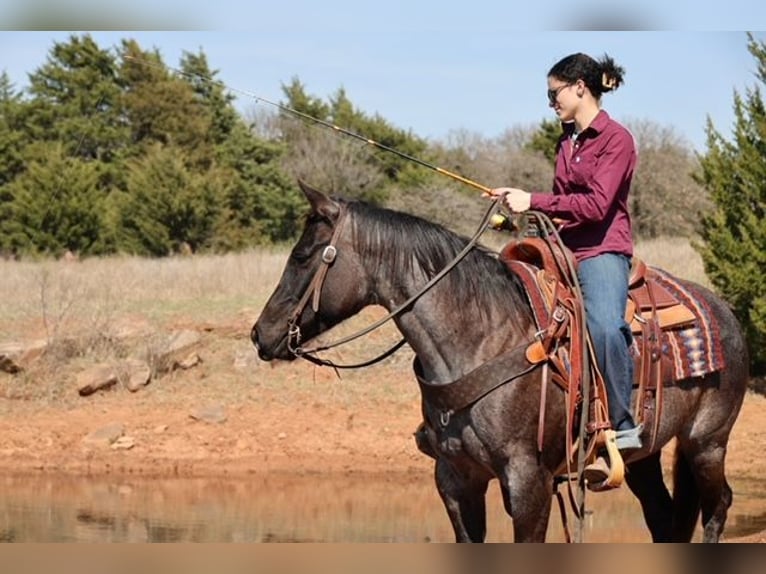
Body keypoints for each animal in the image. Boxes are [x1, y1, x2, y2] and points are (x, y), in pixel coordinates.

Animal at [251, 180, 749, 542]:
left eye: (301, 255)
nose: (261, 334)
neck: (480, 339)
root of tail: (723, 309)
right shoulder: (456, 481)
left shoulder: (529, 483)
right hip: (646, 454)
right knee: (665, 517)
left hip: (707, 441)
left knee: (718, 504)